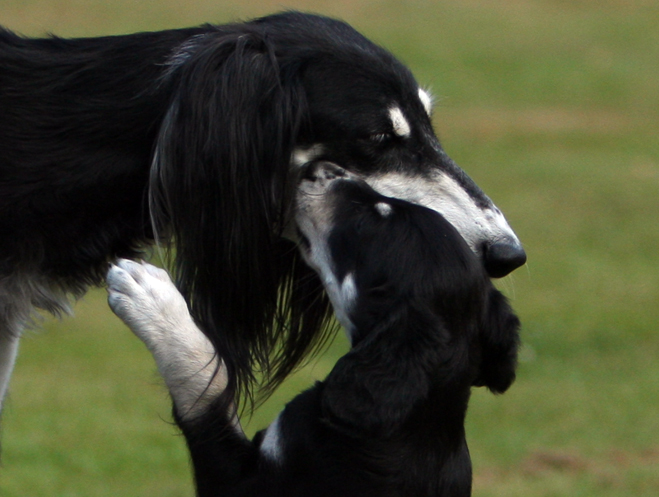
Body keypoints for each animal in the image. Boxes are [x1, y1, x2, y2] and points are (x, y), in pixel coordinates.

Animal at [107, 161, 520, 494]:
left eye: (369, 220)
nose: (322, 168)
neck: (419, 417)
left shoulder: (244, 481)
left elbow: (206, 391)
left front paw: (152, 298)